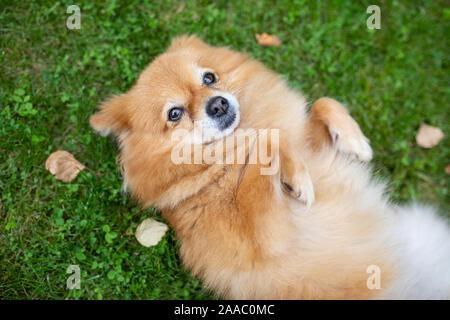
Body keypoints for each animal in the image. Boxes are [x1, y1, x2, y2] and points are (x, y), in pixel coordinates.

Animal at [89, 35, 450, 300]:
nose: (218, 103)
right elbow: (267, 140)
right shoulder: (266, 238)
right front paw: (296, 177)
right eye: (174, 114)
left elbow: (323, 103)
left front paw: (354, 139)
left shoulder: (310, 146)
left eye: (209, 77)